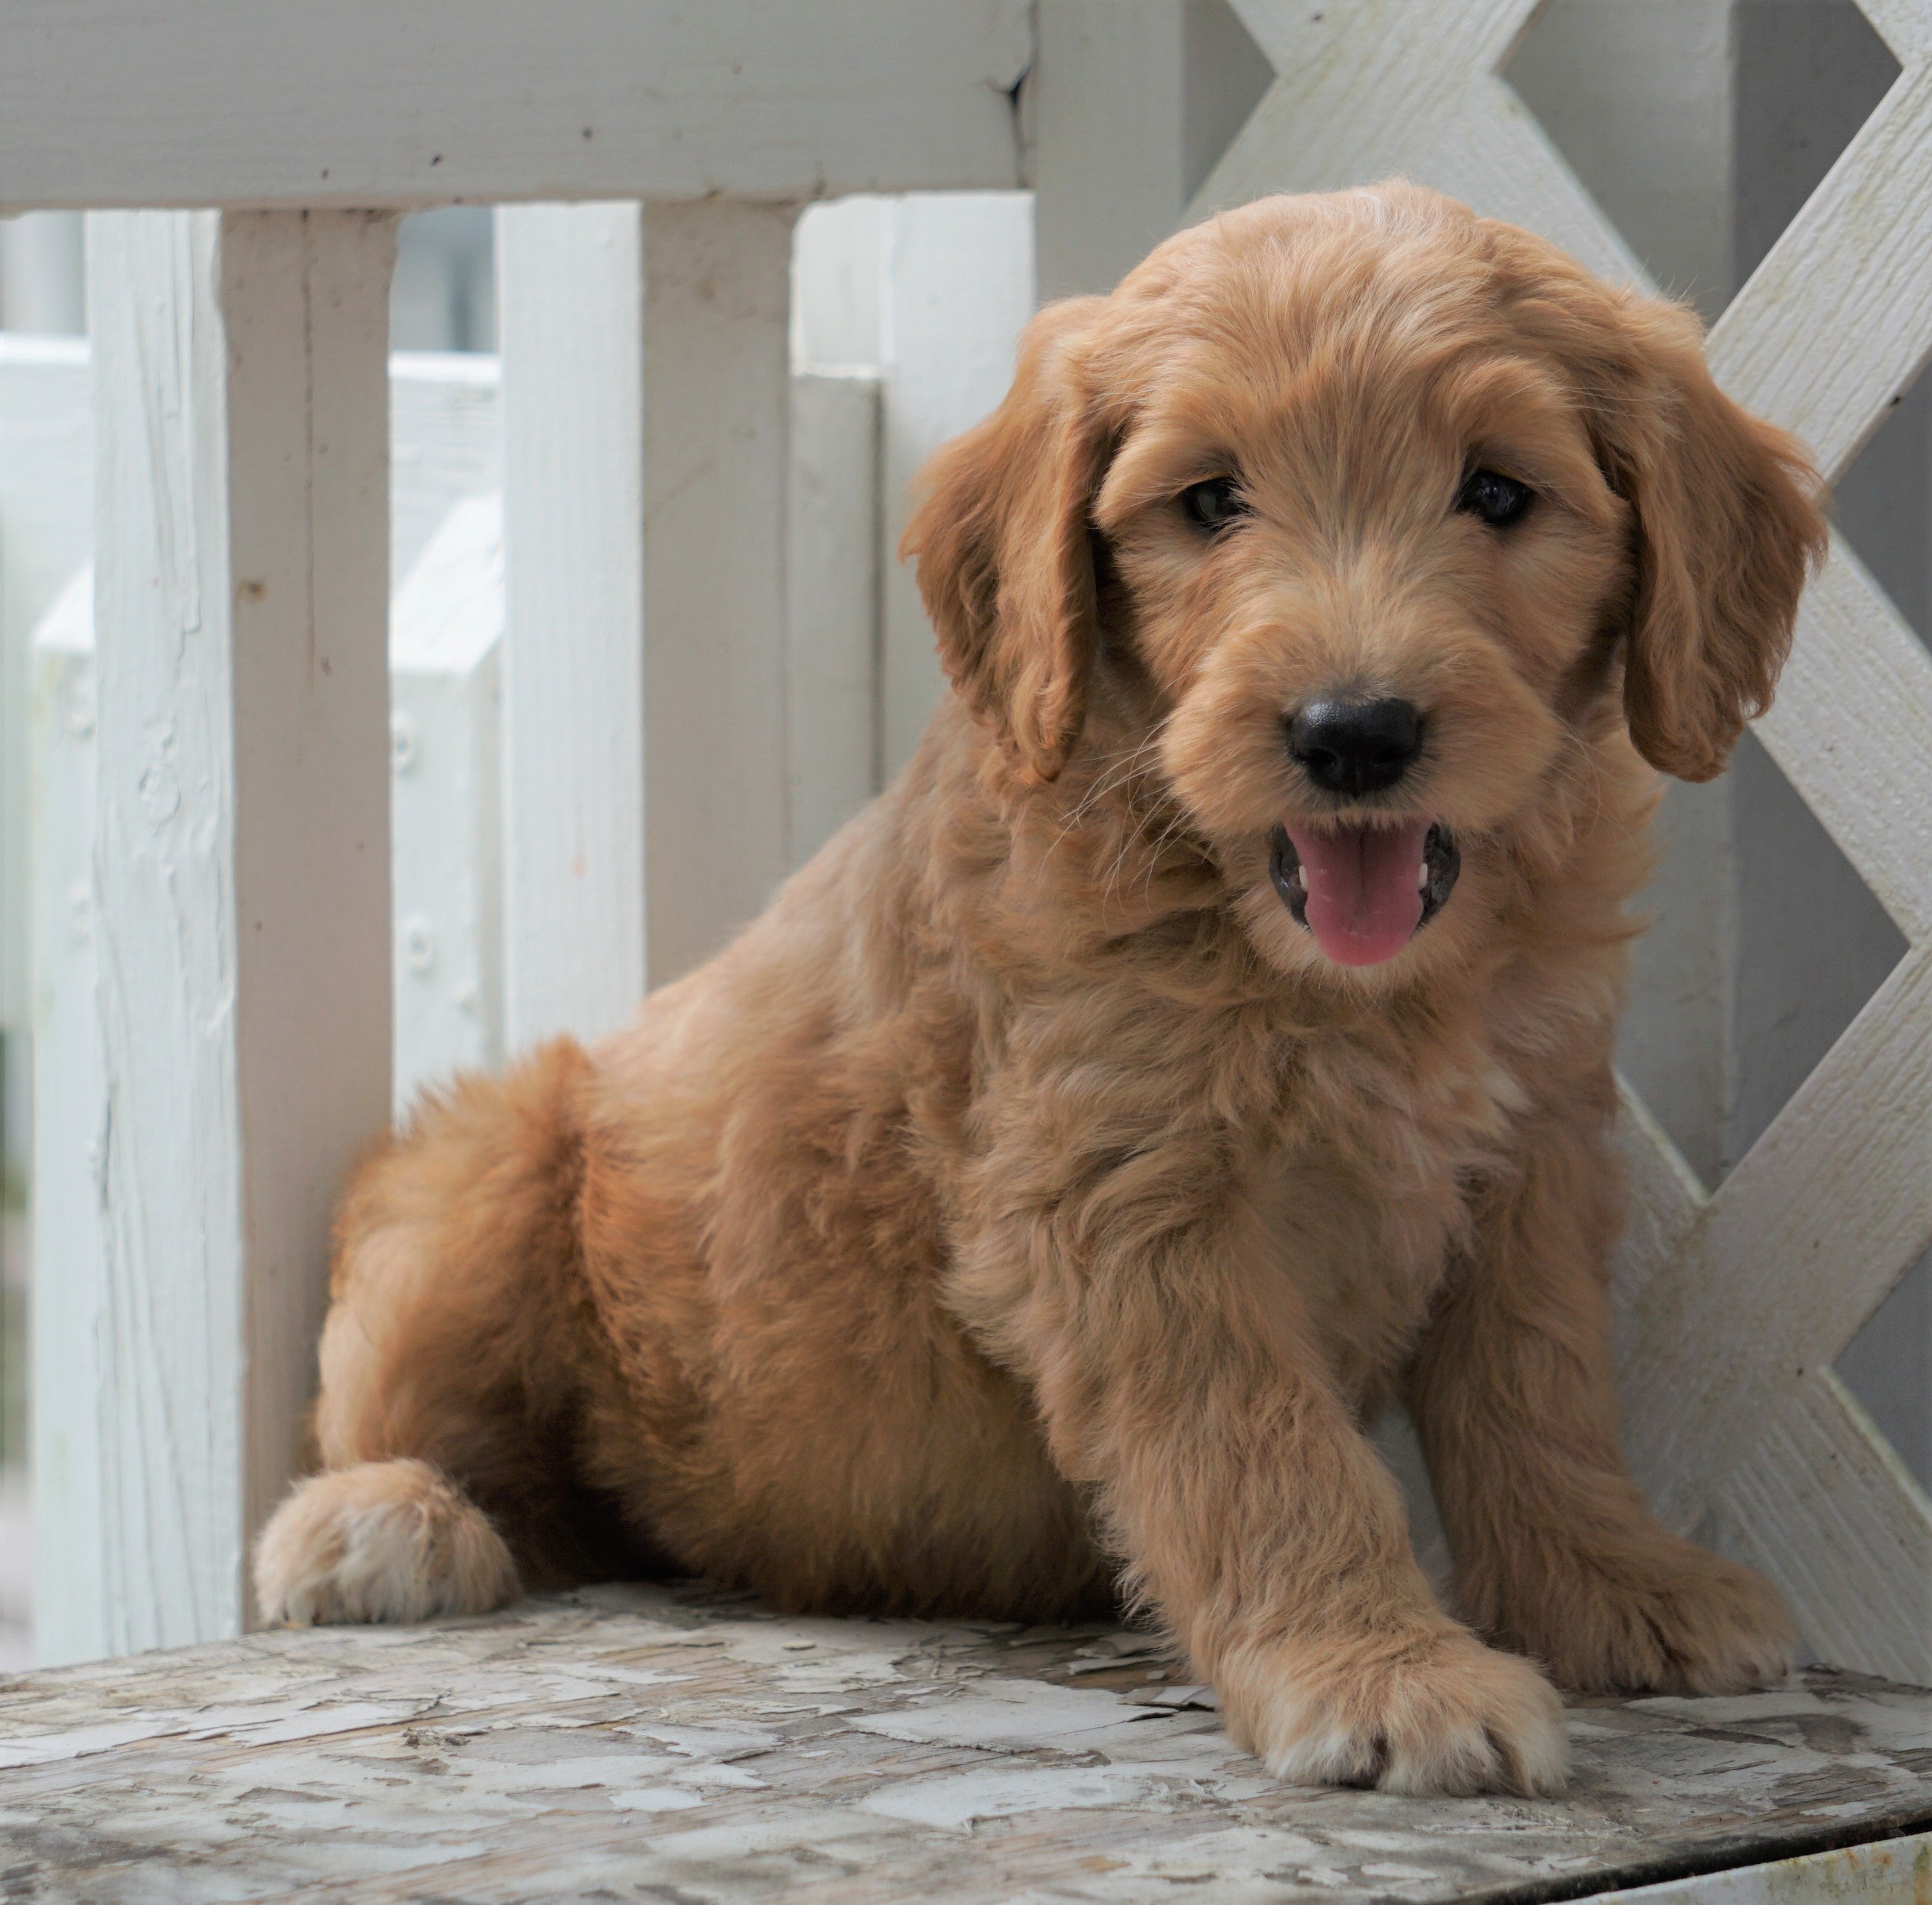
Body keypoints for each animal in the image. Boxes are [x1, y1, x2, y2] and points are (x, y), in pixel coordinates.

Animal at [256, 185, 1823, 1793]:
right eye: (1209, 500)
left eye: (1498, 494)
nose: (1353, 734)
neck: (1340, 982)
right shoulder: (1126, 1202)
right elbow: (1267, 1446)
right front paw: (1380, 1671)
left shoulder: (1529, 1157)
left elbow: (1541, 1395)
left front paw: (1616, 1582)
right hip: (488, 1163)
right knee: (395, 1414)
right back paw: (379, 1522)